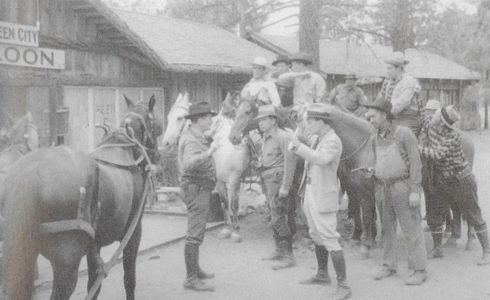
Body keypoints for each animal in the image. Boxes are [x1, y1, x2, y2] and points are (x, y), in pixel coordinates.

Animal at [0, 95, 162, 298]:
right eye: (155, 124)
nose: (158, 156)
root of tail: (30, 175)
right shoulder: (133, 234)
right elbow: (129, 280)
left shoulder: (95, 245)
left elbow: (94, 285)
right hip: (66, 260)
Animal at [162, 92, 249, 243]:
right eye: (168, 117)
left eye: (179, 118)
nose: (166, 143)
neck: (223, 146)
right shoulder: (220, 181)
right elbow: (224, 203)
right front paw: (227, 229)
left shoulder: (234, 179)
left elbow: (233, 204)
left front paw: (235, 232)